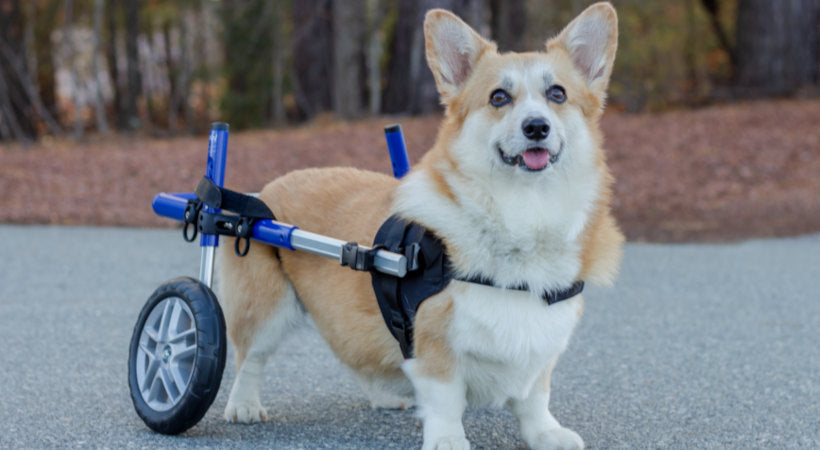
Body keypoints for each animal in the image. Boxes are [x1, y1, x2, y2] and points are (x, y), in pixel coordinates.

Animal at [218, 2, 620, 446]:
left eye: (557, 94)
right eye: (498, 97)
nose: (536, 127)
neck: (525, 215)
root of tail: (265, 189)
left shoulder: (542, 345)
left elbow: (535, 397)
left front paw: (546, 434)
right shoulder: (432, 345)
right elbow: (445, 399)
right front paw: (447, 440)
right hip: (264, 308)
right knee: (250, 357)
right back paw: (243, 405)